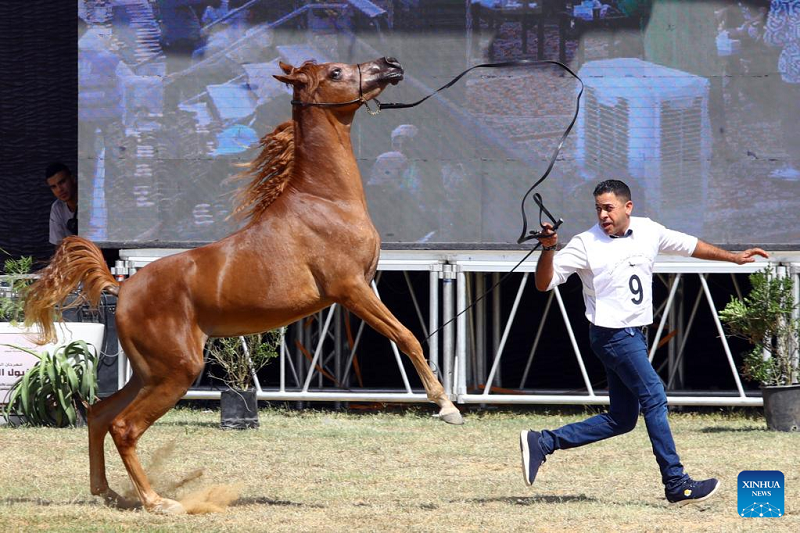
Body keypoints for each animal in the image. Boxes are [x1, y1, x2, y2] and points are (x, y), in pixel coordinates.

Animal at [26, 56, 462, 512]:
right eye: (336, 73)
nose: (389, 64)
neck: (324, 201)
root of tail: (123, 287)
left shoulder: (361, 289)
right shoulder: (352, 290)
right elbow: (407, 336)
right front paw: (446, 406)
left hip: (150, 373)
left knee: (99, 414)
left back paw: (108, 492)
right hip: (176, 372)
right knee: (124, 426)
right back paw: (158, 502)